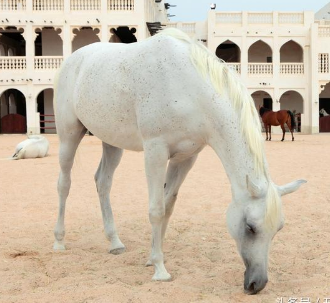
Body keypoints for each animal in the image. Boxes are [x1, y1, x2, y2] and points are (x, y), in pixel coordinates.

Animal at [52, 28, 306, 294]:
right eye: (250, 227)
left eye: (278, 229)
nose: (257, 284)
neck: (190, 89)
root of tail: (73, 60)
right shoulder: (155, 151)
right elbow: (156, 209)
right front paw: (159, 269)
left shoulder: (185, 158)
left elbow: (168, 206)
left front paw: (152, 257)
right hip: (69, 136)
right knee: (64, 184)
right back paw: (59, 241)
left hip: (112, 142)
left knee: (103, 183)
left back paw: (114, 242)